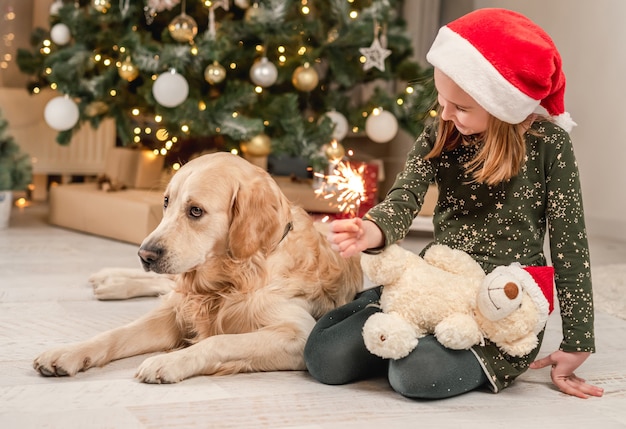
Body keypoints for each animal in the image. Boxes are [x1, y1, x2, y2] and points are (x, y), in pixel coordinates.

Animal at [34, 152, 360, 382]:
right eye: (166, 202)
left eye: (195, 211)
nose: (144, 254)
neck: (232, 279)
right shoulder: (173, 314)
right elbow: (115, 334)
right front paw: (69, 352)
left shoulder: (299, 333)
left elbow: (218, 340)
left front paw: (168, 361)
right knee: (163, 285)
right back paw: (109, 280)